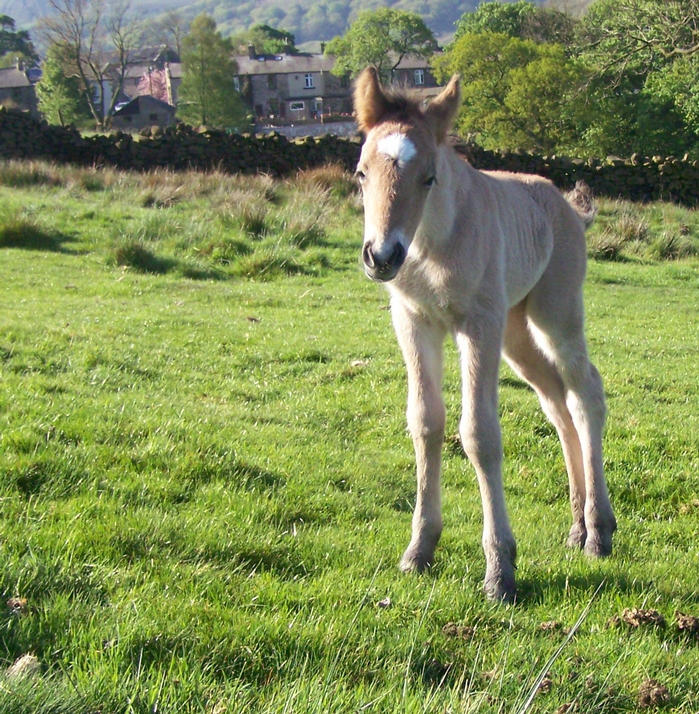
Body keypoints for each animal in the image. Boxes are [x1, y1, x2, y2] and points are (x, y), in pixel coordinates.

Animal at [353, 67, 616, 602]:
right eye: (362, 173)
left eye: (429, 177)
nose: (381, 256)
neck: (431, 247)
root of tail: (569, 207)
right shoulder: (413, 322)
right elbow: (425, 422)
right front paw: (419, 549)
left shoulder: (478, 325)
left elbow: (479, 434)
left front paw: (500, 570)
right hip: (515, 333)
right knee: (556, 402)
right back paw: (577, 526)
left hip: (555, 313)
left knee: (585, 394)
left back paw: (600, 531)